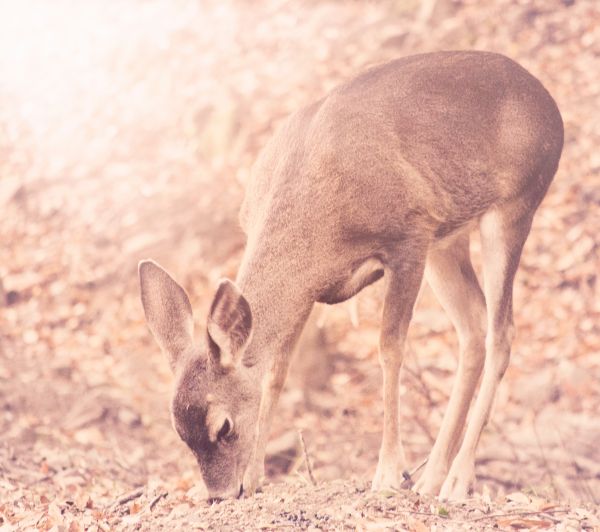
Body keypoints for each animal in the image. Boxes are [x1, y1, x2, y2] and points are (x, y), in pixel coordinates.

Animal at [139, 52, 564, 500]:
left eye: (223, 426)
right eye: (180, 433)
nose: (220, 494)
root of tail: (547, 100)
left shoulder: (409, 236)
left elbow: (389, 348)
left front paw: (388, 472)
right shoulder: (308, 290)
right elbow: (277, 371)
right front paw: (255, 477)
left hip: (515, 205)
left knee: (502, 332)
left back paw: (456, 480)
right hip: (447, 241)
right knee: (473, 327)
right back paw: (431, 478)